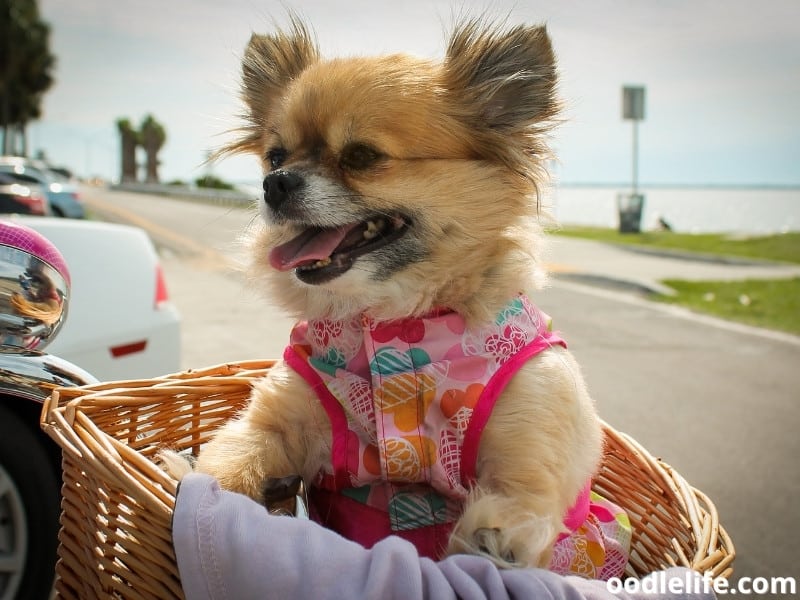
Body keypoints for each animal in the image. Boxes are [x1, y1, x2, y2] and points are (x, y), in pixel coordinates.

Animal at [177, 16, 632, 576]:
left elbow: (526, 493)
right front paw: (200, 480)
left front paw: (497, 538)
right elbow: (229, 458)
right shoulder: (274, 424)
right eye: (275, 155)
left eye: (361, 156)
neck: (395, 317)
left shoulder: (530, 429)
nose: (274, 183)